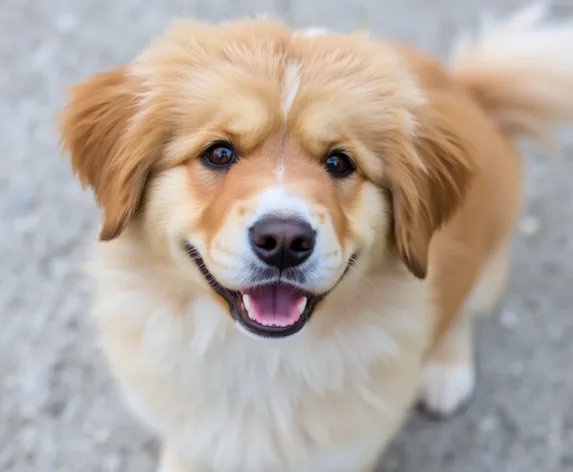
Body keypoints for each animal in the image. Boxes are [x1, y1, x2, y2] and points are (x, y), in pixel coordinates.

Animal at [57, 4, 572, 472]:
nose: (284, 240)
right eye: (219, 153)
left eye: (339, 162)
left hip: (488, 261)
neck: (263, 359)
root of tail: (472, 91)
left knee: (464, 309)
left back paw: (447, 371)